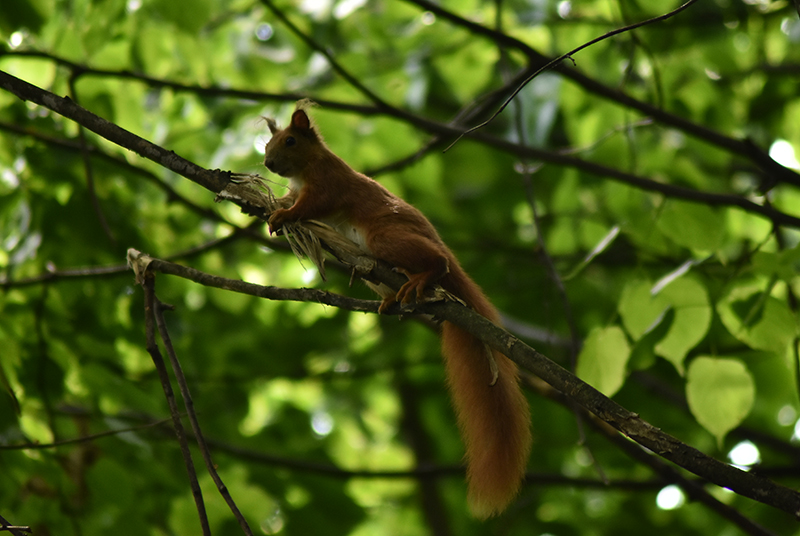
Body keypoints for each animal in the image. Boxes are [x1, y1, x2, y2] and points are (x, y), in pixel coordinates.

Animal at [262, 101, 536, 520]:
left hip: (385, 237)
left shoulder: (328, 185)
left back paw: (425, 276)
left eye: (290, 141)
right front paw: (275, 204)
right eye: (268, 143)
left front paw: (284, 214)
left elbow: (311, 206)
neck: (309, 165)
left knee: (438, 261)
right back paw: (393, 297)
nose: (268, 162)